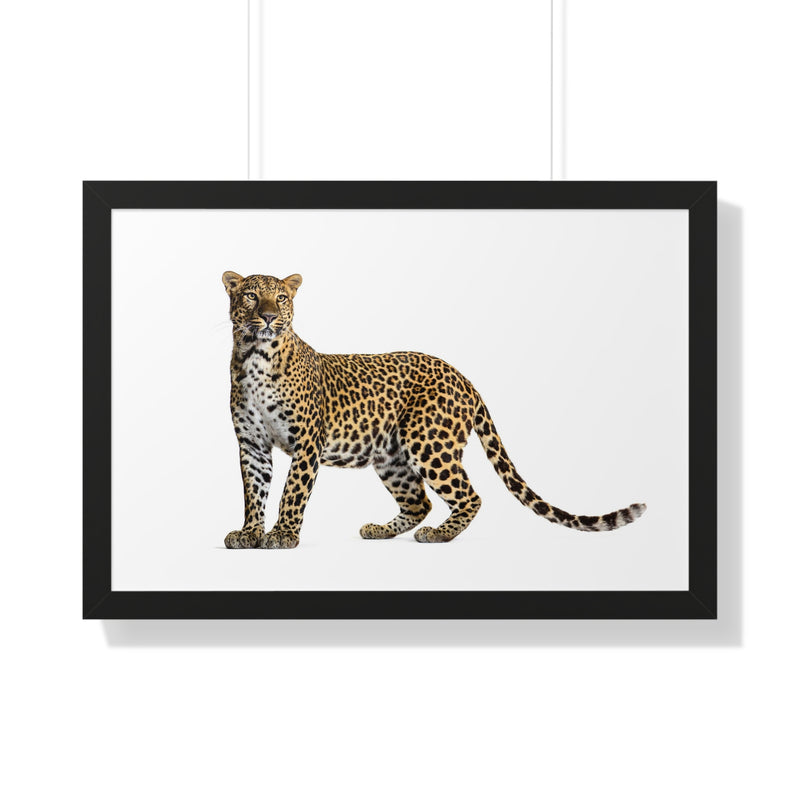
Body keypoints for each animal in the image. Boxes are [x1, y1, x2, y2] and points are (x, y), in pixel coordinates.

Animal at [222, 271, 646, 549]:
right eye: (251, 295)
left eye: (281, 298)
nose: (268, 317)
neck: (255, 356)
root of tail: (463, 377)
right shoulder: (252, 444)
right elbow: (254, 490)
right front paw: (249, 533)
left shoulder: (308, 441)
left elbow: (292, 490)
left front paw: (283, 535)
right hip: (392, 456)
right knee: (419, 501)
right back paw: (380, 530)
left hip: (429, 442)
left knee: (469, 496)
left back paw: (439, 535)